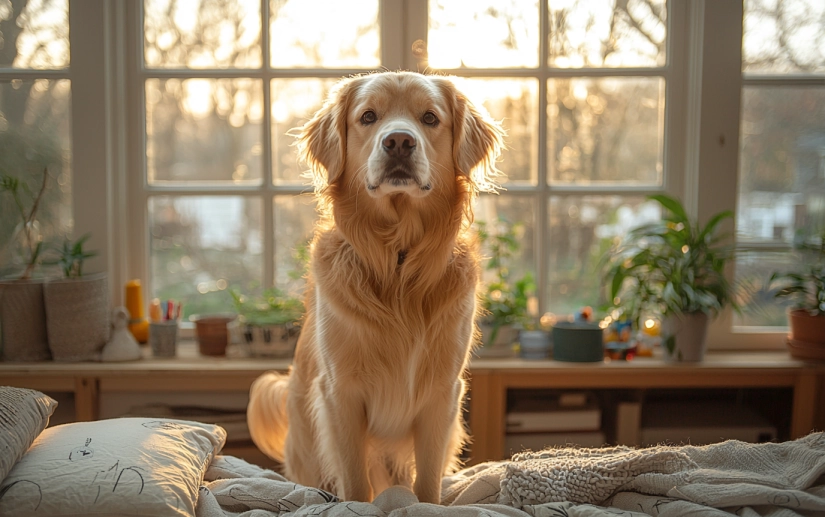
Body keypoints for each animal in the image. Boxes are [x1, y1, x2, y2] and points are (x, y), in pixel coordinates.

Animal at [246, 70, 502, 502]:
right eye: (368, 116)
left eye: (430, 118)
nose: (399, 141)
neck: (396, 261)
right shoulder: (341, 394)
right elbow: (354, 480)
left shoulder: (442, 393)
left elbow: (427, 481)